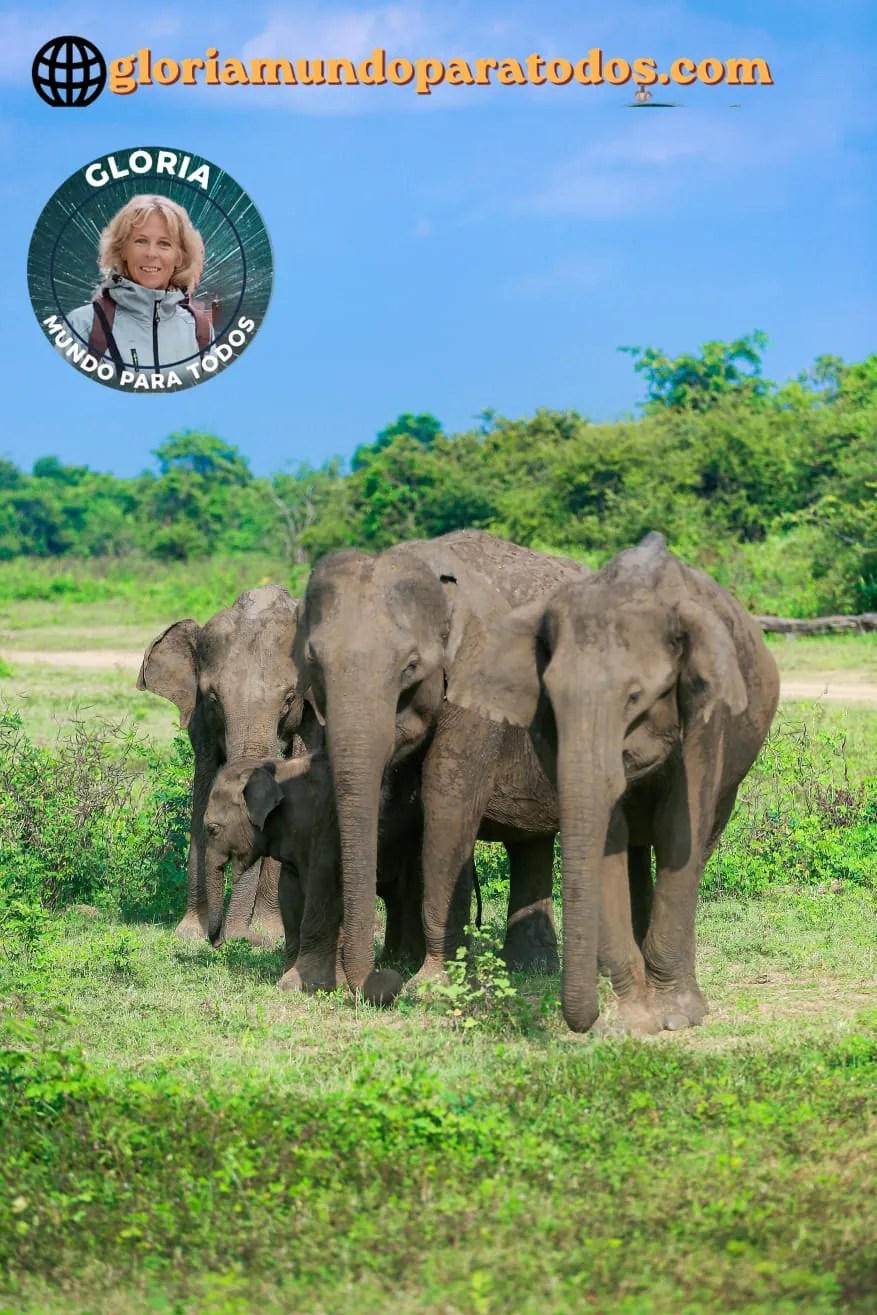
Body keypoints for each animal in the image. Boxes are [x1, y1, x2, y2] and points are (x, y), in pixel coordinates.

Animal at [137, 585, 318, 945]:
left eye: (289, 699)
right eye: (213, 699)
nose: (224, 938)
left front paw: (269, 934)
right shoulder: (201, 725)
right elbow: (202, 797)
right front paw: (189, 933)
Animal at [292, 529, 590, 1005]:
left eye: (411, 667)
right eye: (314, 662)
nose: (383, 983)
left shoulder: (482, 682)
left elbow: (448, 800)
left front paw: (431, 989)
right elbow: (329, 802)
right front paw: (305, 982)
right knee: (531, 842)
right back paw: (529, 968)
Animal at [453, 531, 781, 1035]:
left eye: (635, 697)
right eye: (551, 699)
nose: (587, 1020)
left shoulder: (709, 717)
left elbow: (678, 831)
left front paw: (676, 1018)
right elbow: (610, 835)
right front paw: (628, 1021)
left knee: (698, 841)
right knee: (634, 851)